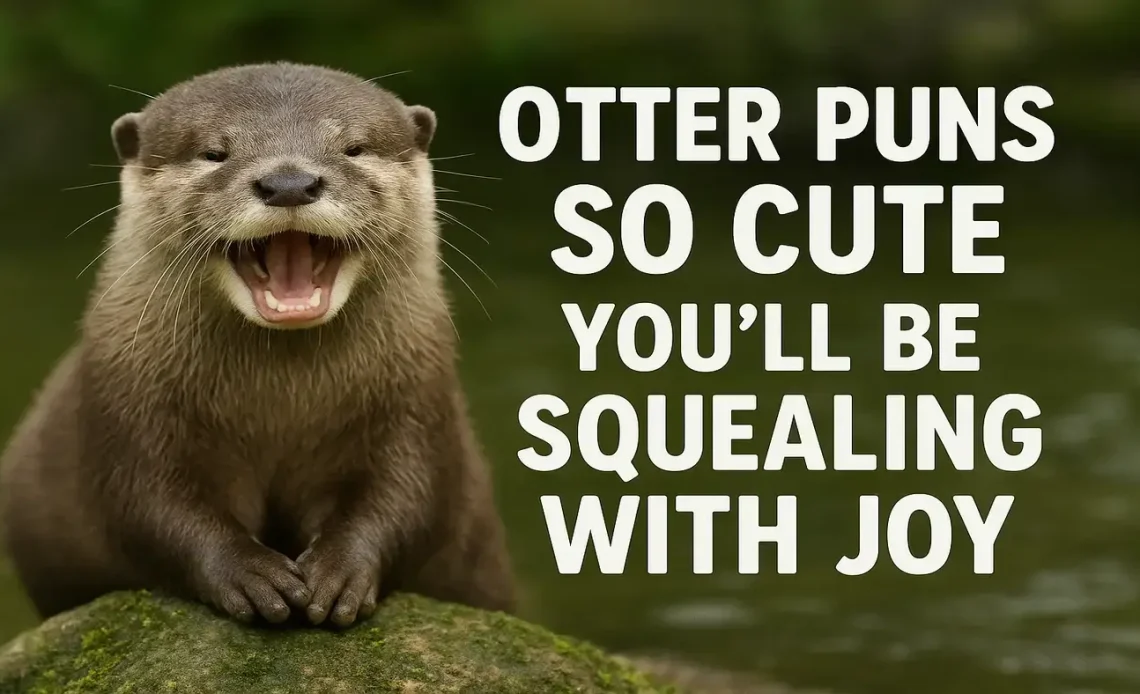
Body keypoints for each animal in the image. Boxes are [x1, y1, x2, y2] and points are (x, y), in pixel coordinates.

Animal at [0, 62, 516, 628]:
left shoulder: (418, 408)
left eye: (353, 147)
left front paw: (341, 571)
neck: (279, 408)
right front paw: (249, 572)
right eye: (214, 152)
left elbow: (408, 496)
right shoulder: (127, 412)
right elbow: (145, 504)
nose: (289, 182)